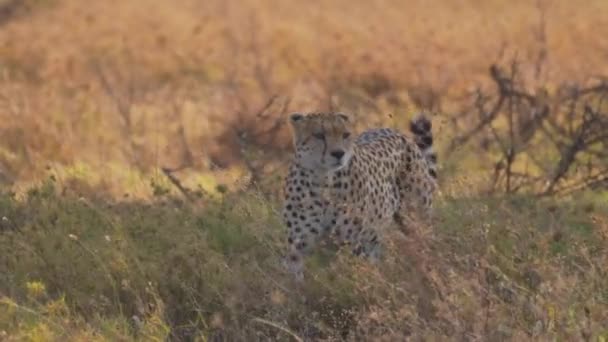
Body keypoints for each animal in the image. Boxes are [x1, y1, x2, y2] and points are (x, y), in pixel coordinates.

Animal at [282, 112, 436, 280]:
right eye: (319, 135)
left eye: (345, 135)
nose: (339, 153)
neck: (323, 180)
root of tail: (397, 133)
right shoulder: (298, 245)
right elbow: (294, 277)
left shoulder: (355, 244)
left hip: (417, 221)